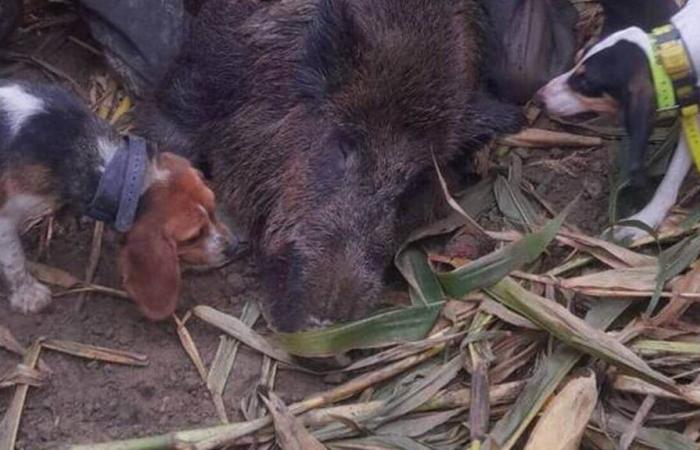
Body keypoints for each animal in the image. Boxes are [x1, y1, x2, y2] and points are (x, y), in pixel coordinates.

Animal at [0, 81, 237, 320]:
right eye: (192, 237)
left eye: (213, 208)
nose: (234, 248)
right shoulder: (4, 219)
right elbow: (14, 260)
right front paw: (27, 293)